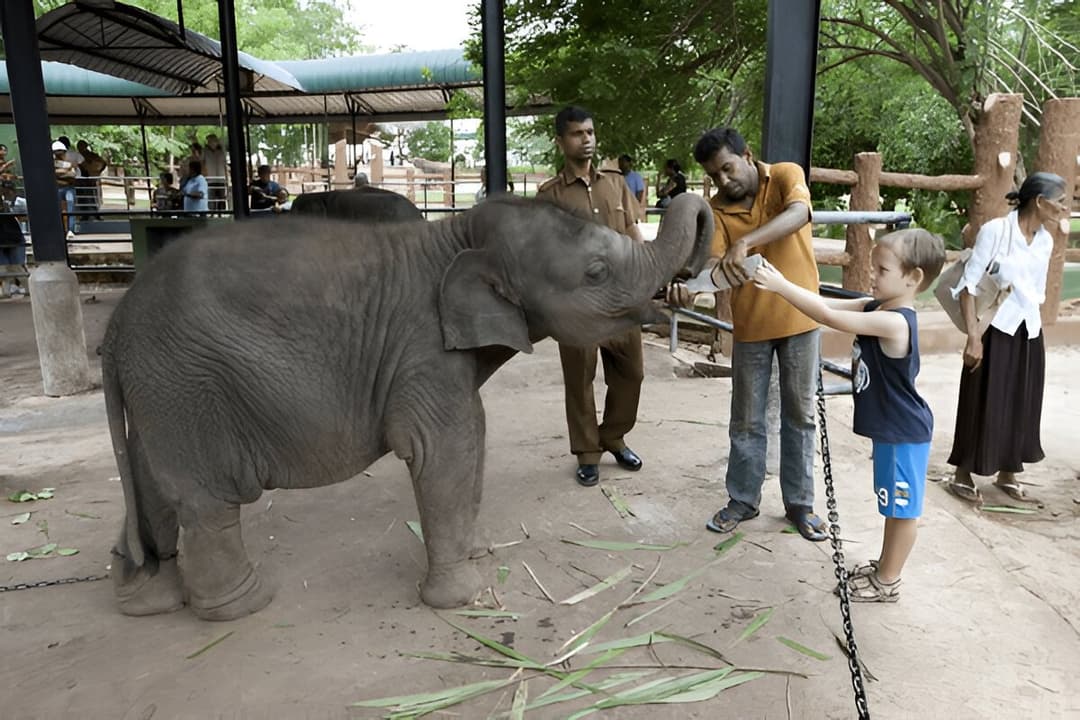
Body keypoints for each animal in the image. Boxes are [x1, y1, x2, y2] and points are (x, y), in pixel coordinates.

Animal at [100, 193, 714, 620]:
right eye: (596, 273)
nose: (703, 207)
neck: (457, 233)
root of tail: (118, 319)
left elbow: (474, 433)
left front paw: (479, 552)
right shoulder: (421, 346)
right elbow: (445, 447)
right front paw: (463, 597)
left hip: (159, 389)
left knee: (153, 484)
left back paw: (146, 598)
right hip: (186, 385)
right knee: (206, 501)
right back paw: (242, 605)